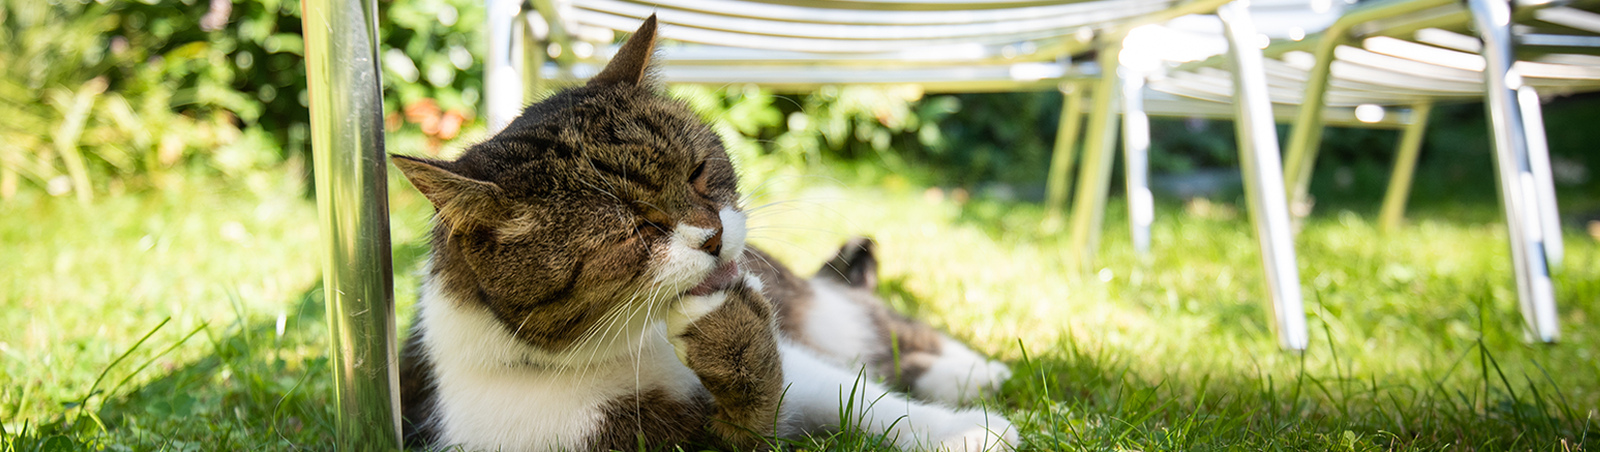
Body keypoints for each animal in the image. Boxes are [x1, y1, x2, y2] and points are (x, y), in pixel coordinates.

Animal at [390, 15, 1011, 448]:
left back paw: (974, 372)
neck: (630, 346)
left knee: (872, 329)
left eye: (697, 172)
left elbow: (857, 397)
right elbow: (758, 420)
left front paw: (964, 432)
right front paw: (735, 344)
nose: (711, 237)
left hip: (821, 309)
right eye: (631, 231)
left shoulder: (799, 355)